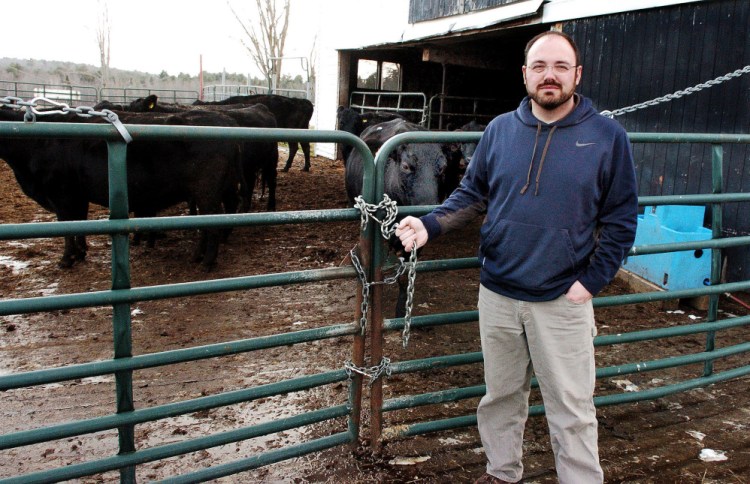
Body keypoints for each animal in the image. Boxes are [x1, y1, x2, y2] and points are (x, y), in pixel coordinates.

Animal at [0, 107, 241, 270]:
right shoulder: (77, 195)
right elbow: (79, 222)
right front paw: (80, 252)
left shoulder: (61, 193)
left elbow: (67, 226)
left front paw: (67, 259)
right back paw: (196, 256)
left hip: (207, 191)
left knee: (213, 222)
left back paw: (207, 262)